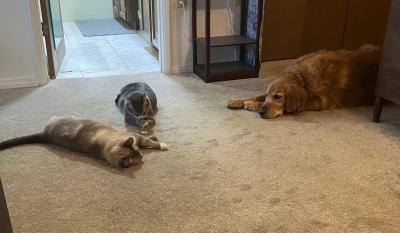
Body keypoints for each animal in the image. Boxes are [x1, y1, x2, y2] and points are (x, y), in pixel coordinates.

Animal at [0, 116, 168, 167]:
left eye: (137, 153)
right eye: (136, 158)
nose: (141, 156)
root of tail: (45, 134)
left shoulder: (135, 137)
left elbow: (147, 140)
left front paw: (156, 139)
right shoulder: (135, 137)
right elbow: (150, 143)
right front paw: (162, 145)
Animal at [227, 44, 380, 119]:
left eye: (278, 97)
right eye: (269, 95)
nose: (261, 113)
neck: (302, 78)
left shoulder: (320, 102)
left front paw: (253, 105)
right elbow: (258, 96)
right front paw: (238, 101)